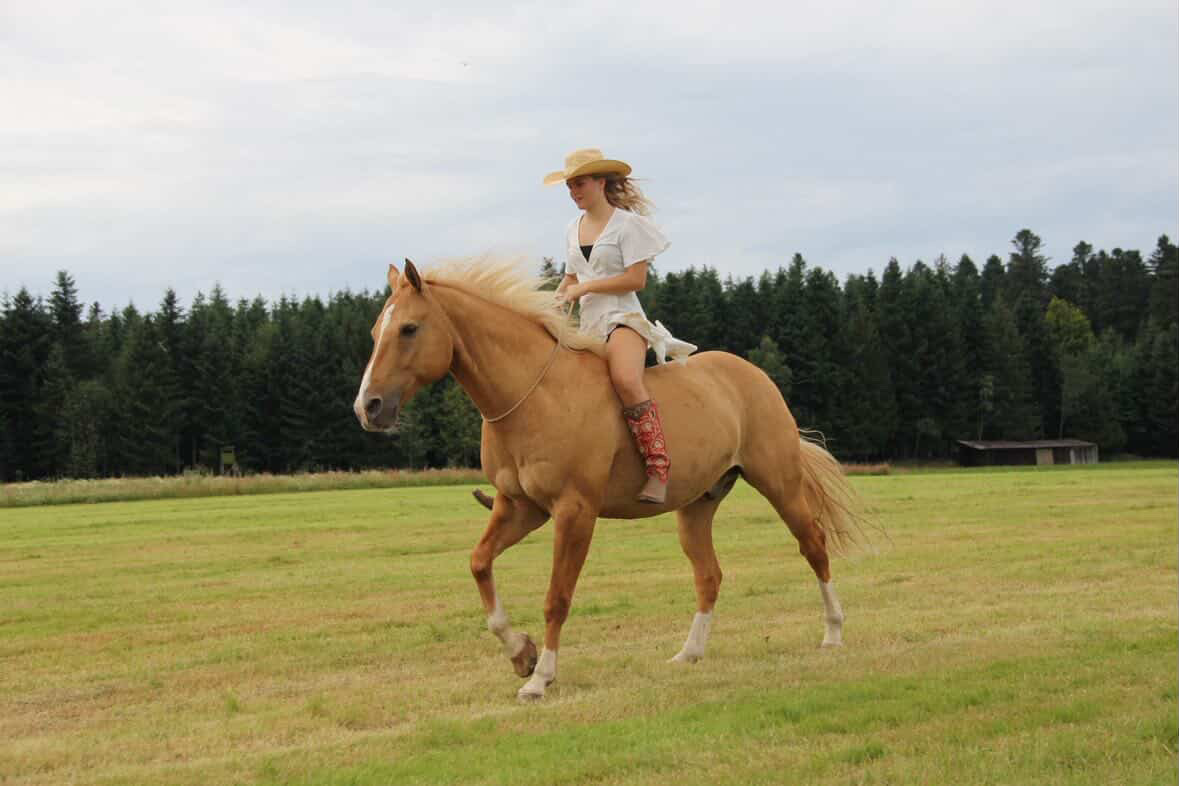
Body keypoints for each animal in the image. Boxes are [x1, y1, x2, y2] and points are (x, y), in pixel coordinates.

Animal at [354, 257, 865, 701]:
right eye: (377, 332)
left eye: (409, 329)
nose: (368, 407)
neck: (533, 395)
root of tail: (755, 375)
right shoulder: (519, 507)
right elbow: (480, 564)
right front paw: (521, 653)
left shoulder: (574, 512)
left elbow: (557, 597)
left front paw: (539, 679)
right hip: (697, 506)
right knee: (709, 575)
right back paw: (689, 653)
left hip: (779, 482)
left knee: (814, 546)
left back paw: (833, 633)